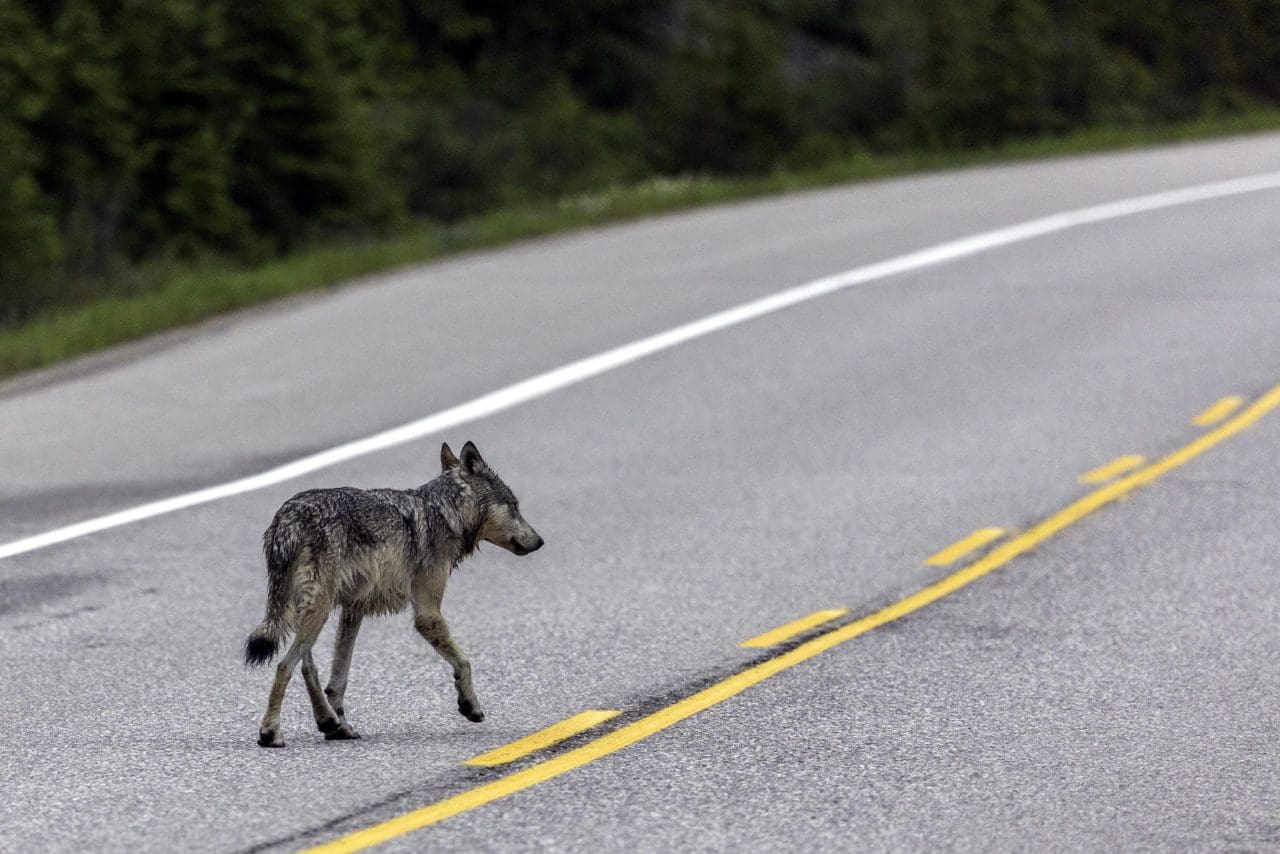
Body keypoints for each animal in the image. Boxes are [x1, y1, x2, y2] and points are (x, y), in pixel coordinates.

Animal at [241, 440, 542, 747]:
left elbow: (338, 679)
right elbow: (465, 661)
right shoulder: (427, 614)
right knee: (283, 666)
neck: (443, 513)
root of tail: (287, 518)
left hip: (308, 611)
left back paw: (328, 721)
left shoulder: (353, 609)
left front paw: (340, 726)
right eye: (515, 506)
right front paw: (471, 706)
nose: (540, 541)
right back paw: (270, 733)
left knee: (306, 667)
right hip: (317, 610)